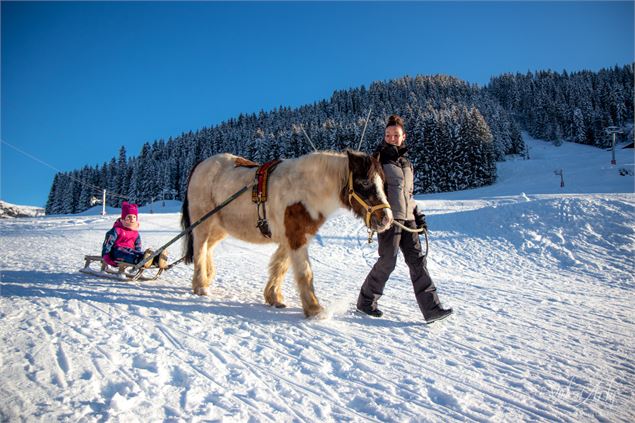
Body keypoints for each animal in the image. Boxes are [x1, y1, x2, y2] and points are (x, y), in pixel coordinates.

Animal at [179, 150, 396, 318]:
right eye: (364, 182)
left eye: (383, 183)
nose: (386, 219)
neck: (306, 189)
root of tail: (200, 165)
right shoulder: (296, 238)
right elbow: (305, 273)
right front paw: (314, 309)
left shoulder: (291, 238)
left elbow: (280, 267)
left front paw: (274, 297)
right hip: (202, 223)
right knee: (199, 249)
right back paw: (200, 286)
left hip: (220, 228)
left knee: (207, 248)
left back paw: (207, 278)